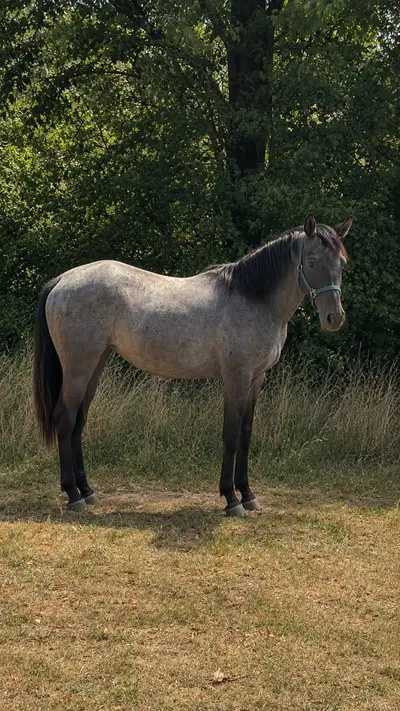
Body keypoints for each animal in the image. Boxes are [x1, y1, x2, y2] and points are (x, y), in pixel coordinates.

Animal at [33, 214, 352, 516]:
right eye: (312, 261)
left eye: (342, 263)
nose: (334, 318)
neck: (253, 298)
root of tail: (61, 281)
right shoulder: (236, 377)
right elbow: (231, 435)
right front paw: (231, 499)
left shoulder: (256, 379)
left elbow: (246, 434)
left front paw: (248, 496)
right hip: (78, 368)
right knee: (65, 418)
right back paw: (73, 495)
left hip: (95, 364)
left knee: (79, 420)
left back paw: (87, 491)